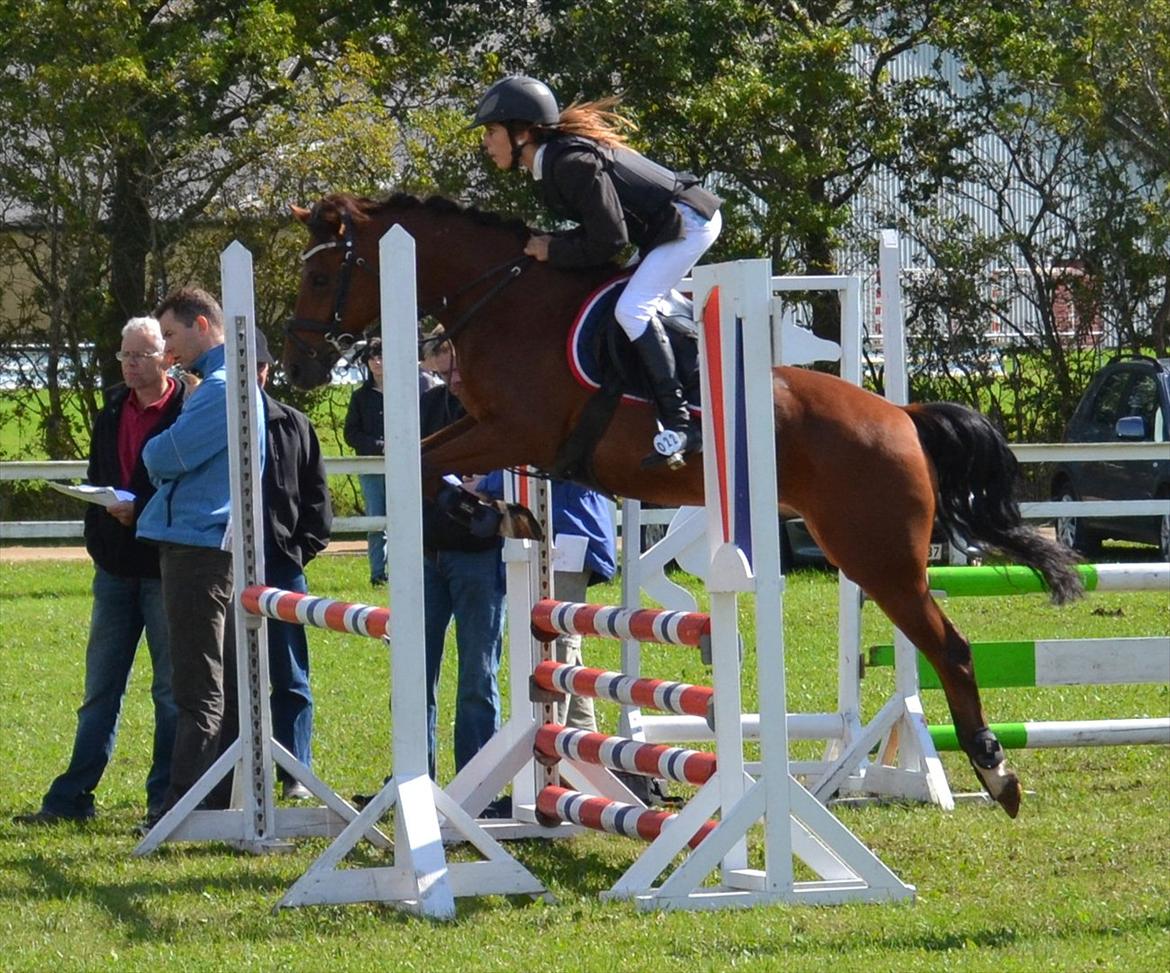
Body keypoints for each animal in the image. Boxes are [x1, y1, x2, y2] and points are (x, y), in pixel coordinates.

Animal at [283, 192, 1083, 818]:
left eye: (321, 274)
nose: (299, 367)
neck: (504, 298)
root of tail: (902, 417)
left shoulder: (516, 429)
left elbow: (421, 464)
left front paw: (495, 515)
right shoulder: (489, 429)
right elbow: (420, 458)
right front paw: (511, 517)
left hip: (878, 555)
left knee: (949, 647)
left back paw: (996, 770)